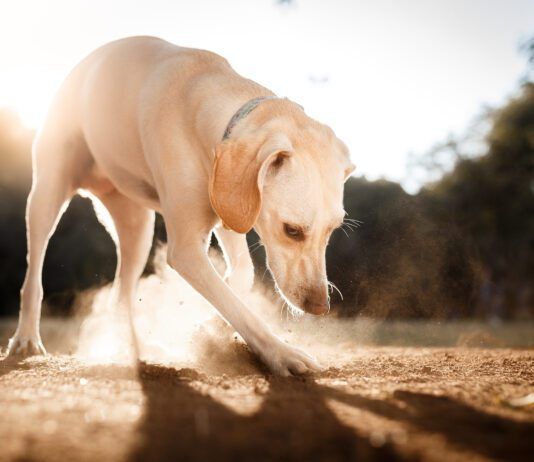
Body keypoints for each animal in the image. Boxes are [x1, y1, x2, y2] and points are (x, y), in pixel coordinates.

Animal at [7, 36, 356, 376]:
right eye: (292, 230)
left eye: (333, 230)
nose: (320, 307)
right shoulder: (186, 250)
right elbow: (236, 304)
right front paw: (281, 354)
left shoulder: (228, 212)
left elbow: (240, 278)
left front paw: (207, 329)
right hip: (46, 195)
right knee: (34, 274)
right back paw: (26, 339)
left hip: (138, 228)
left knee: (122, 293)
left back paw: (130, 348)